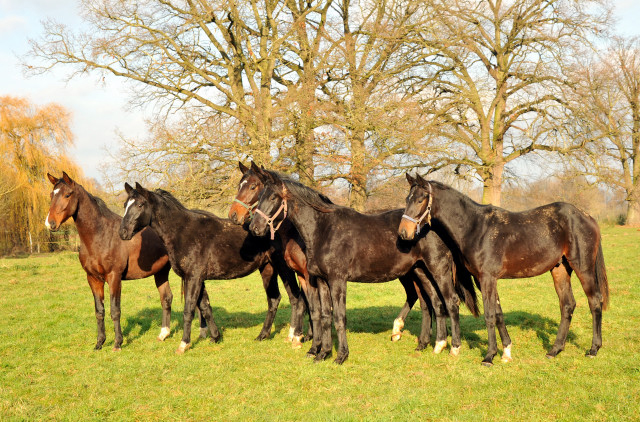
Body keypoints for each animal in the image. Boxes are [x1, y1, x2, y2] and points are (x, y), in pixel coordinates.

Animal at [44, 171, 175, 350]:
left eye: (67, 195)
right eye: (52, 195)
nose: (50, 223)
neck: (101, 236)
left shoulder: (114, 277)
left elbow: (115, 310)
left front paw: (118, 343)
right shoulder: (93, 279)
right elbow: (100, 311)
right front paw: (99, 342)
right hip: (161, 272)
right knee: (166, 298)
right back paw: (163, 334)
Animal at [120, 183, 304, 354]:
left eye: (140, 205)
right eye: (125, 205)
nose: (123, 233)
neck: (182, 232)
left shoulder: (193, 278)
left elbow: (189, 310)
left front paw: (184, 344)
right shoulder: (199, 279)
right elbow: (205, 307)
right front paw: (215, 337)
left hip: (284, 268)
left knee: (296, 298)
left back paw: (293, 336)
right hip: (267, 268)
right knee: (274, 299)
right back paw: (263, 335)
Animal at [228, 160, 432, 348]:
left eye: (253, 186)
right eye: (240, 185)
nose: (235, 217)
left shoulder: (310, 275)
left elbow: (312, 306)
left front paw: (306, 339)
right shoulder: (303, 274)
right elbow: (313, 306)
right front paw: (307, 339)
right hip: (411, 272)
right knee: (419, 297)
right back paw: (405, 333)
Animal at [248, 166, 478, 364]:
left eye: (273, 197)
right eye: (259, 195)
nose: (255, 227)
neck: (324, 229)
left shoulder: (337, 281)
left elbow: (339, 317)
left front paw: (341, 356)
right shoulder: (321, 281)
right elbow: (324, 316)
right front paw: (322, 353)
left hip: (438, 269)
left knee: (450, 301)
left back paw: (453, 347)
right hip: (420, 271)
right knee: (435, 303)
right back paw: (434, 345)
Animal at [400, 172, 608, 366]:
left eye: (420, 199)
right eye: (407, 199)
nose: (403, 232)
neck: (475, 228)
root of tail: (587, 217)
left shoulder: (487, 278)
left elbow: (489, 314)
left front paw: (489, 356)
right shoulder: (484, 280)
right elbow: (498, 314)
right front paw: (506, 352)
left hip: (583, 268)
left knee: (595, 301)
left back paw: (593, 349)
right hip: (560, 269)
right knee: (567, 305)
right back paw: (554, 350)